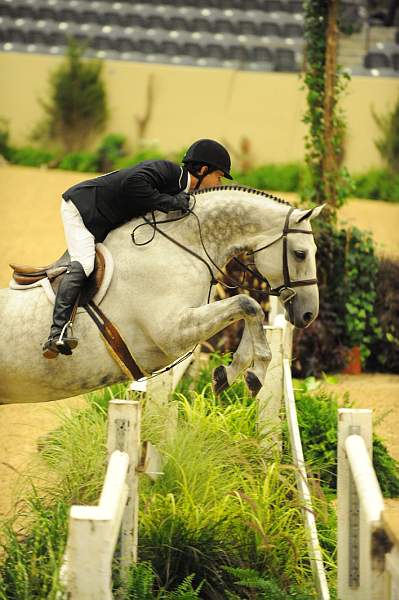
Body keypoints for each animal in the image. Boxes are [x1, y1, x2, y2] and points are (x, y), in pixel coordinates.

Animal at [0, 185, 324, 406]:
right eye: (300, 253)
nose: (309, 314)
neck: (184, 245)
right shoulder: (172, 333)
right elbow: (249, 304)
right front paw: (255, 374)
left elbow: (246, 310)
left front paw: (229, 374)